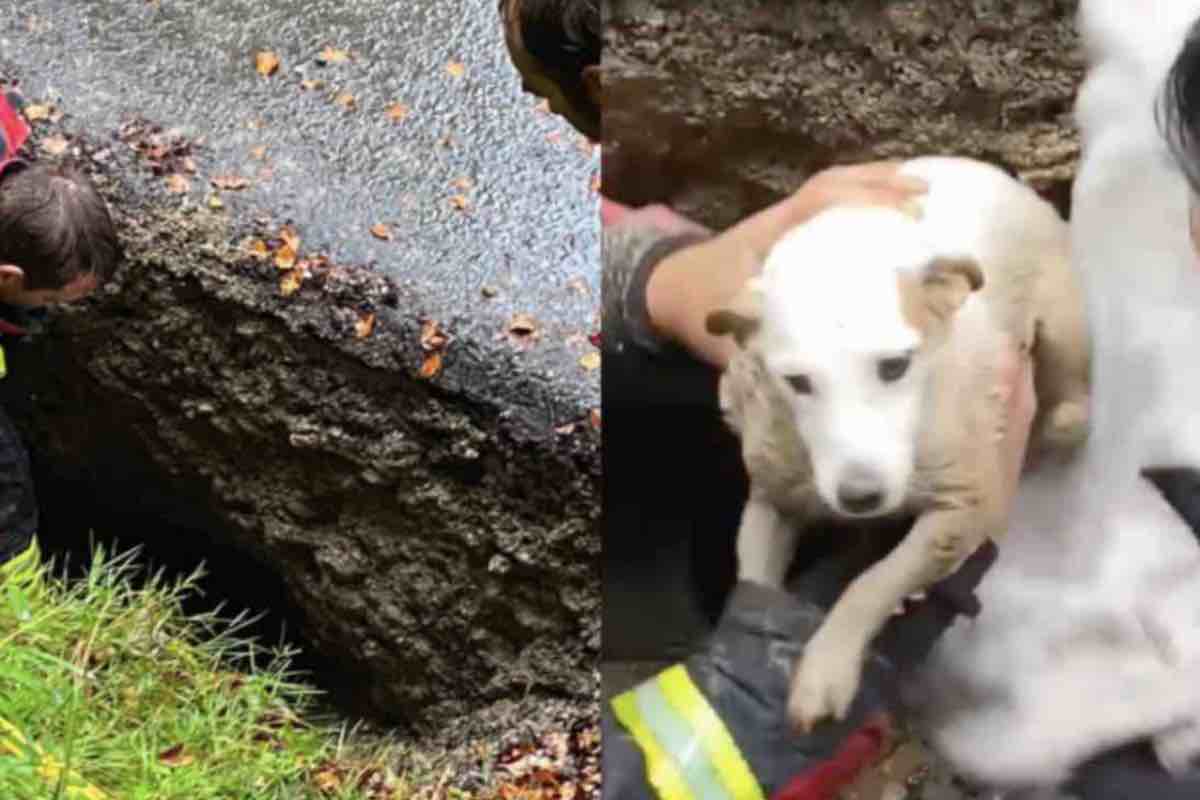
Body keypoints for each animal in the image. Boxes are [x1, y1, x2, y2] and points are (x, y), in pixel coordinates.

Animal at [705, 153, 1094, 734]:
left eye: (895, 366)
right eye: (796, 381)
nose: (860, 498)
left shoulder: (959, 510)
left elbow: (873, 583)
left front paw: (827, 667)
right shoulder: (772, 500)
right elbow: (755, 581)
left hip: (1062, 328)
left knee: (1073, 403)